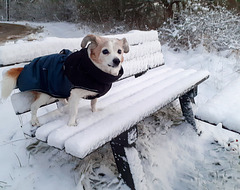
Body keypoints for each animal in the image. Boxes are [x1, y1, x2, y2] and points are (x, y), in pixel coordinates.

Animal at [0, 34, 129, 126]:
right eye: (105, 51)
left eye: (119, 51)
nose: (117, 61)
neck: (93, 69)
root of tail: (25, 67)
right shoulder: (75, 94)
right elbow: (74, 111)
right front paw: (71, 124)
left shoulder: (93, 93)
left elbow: (93, 103)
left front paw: (94, 112)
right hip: (44, 95)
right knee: (34, 106)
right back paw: (34, 120)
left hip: (57, 90)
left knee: (62, 100)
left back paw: (66, 105)